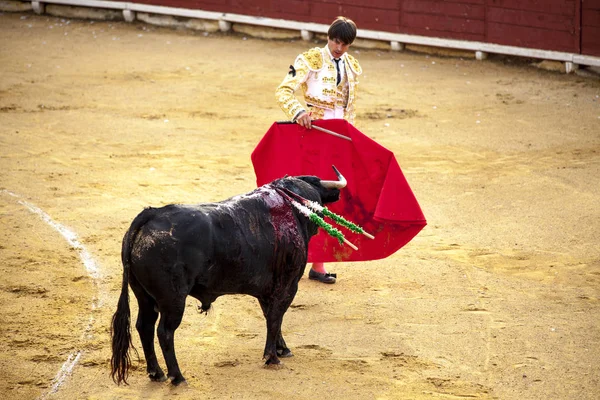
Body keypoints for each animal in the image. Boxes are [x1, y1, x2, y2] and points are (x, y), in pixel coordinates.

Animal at [111, 170, 346, 386]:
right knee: (165, 332)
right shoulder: (288, 284)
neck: (291, 207)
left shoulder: (267, 290)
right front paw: (272, 357)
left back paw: (156, 373)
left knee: (145, 326)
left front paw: (282, 349)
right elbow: (275, 317)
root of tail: (150, 215)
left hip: (144, 295)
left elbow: (272, 316)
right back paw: (177, 377)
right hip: (173, 300)